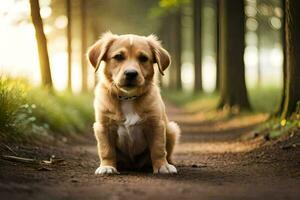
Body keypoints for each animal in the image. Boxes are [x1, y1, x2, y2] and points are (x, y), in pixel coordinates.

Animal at [86, 32, 180, 174]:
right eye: (118, 57)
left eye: (143, 58)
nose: (131, 73)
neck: (128, 98)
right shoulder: (103, 126)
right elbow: (106, 149)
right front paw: (107, 166)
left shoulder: (156, 124)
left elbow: (158, 148)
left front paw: (162, 166)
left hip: (171, 129)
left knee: (167, 152)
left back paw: (168, 162)